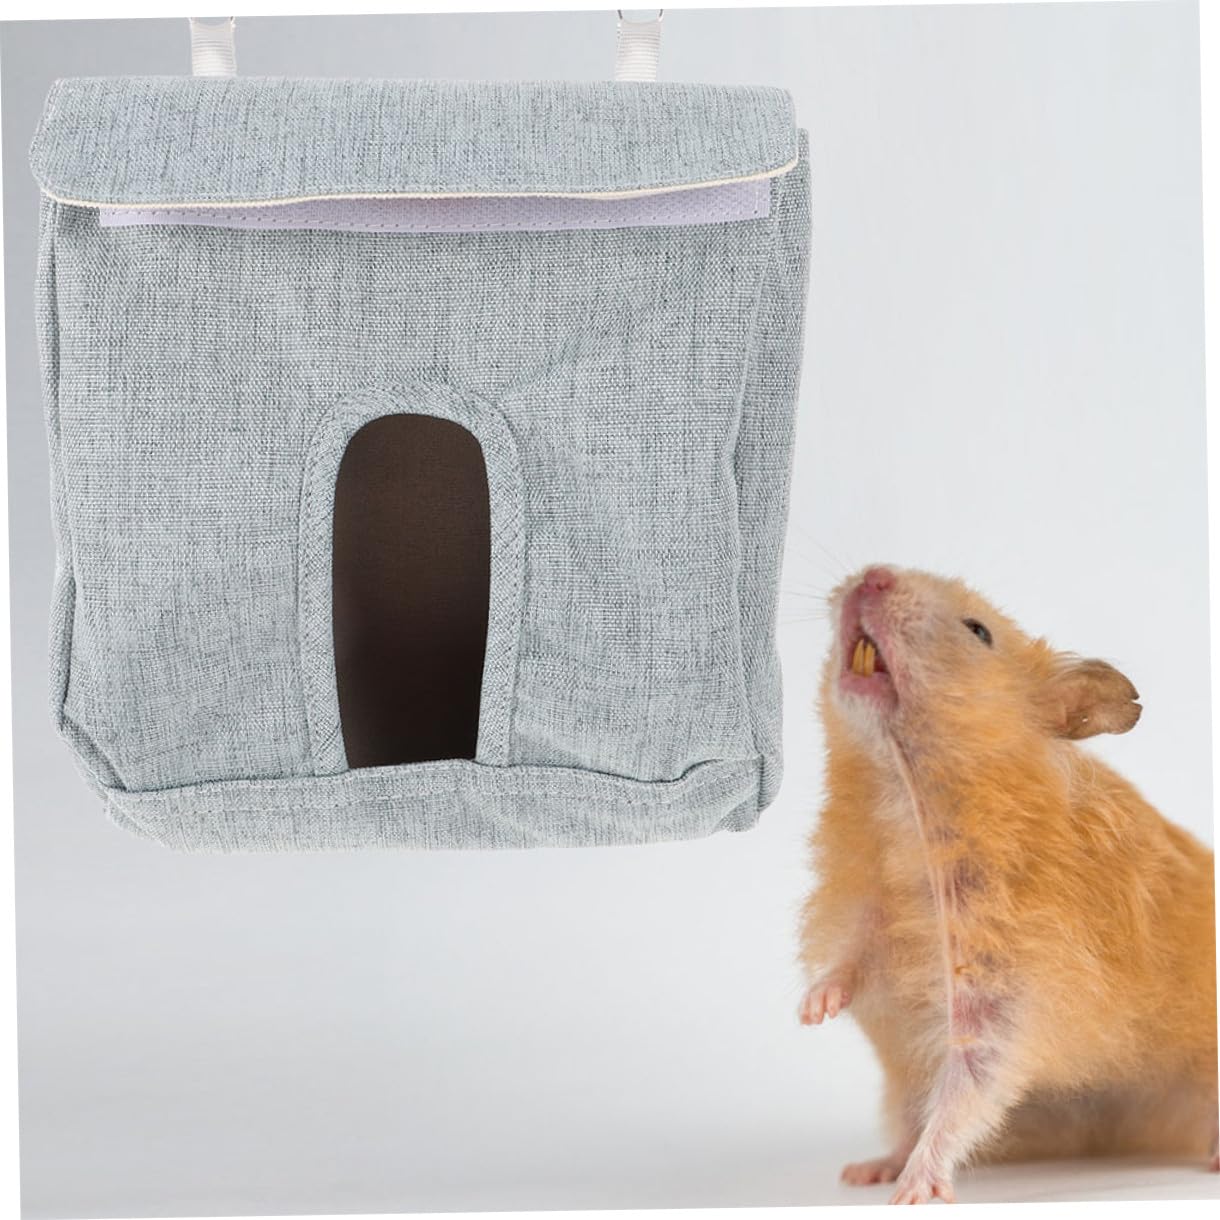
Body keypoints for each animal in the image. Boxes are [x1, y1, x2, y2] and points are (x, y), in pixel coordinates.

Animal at [797, 565, 1217, 1204]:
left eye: (979, 631)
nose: (873, 576)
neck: (905, 800)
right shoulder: (868, 907)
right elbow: (848, 959)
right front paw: (811, 1011)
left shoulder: (1005, 995)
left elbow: (967, 1089)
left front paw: (915, 1193)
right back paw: (868, 1169)